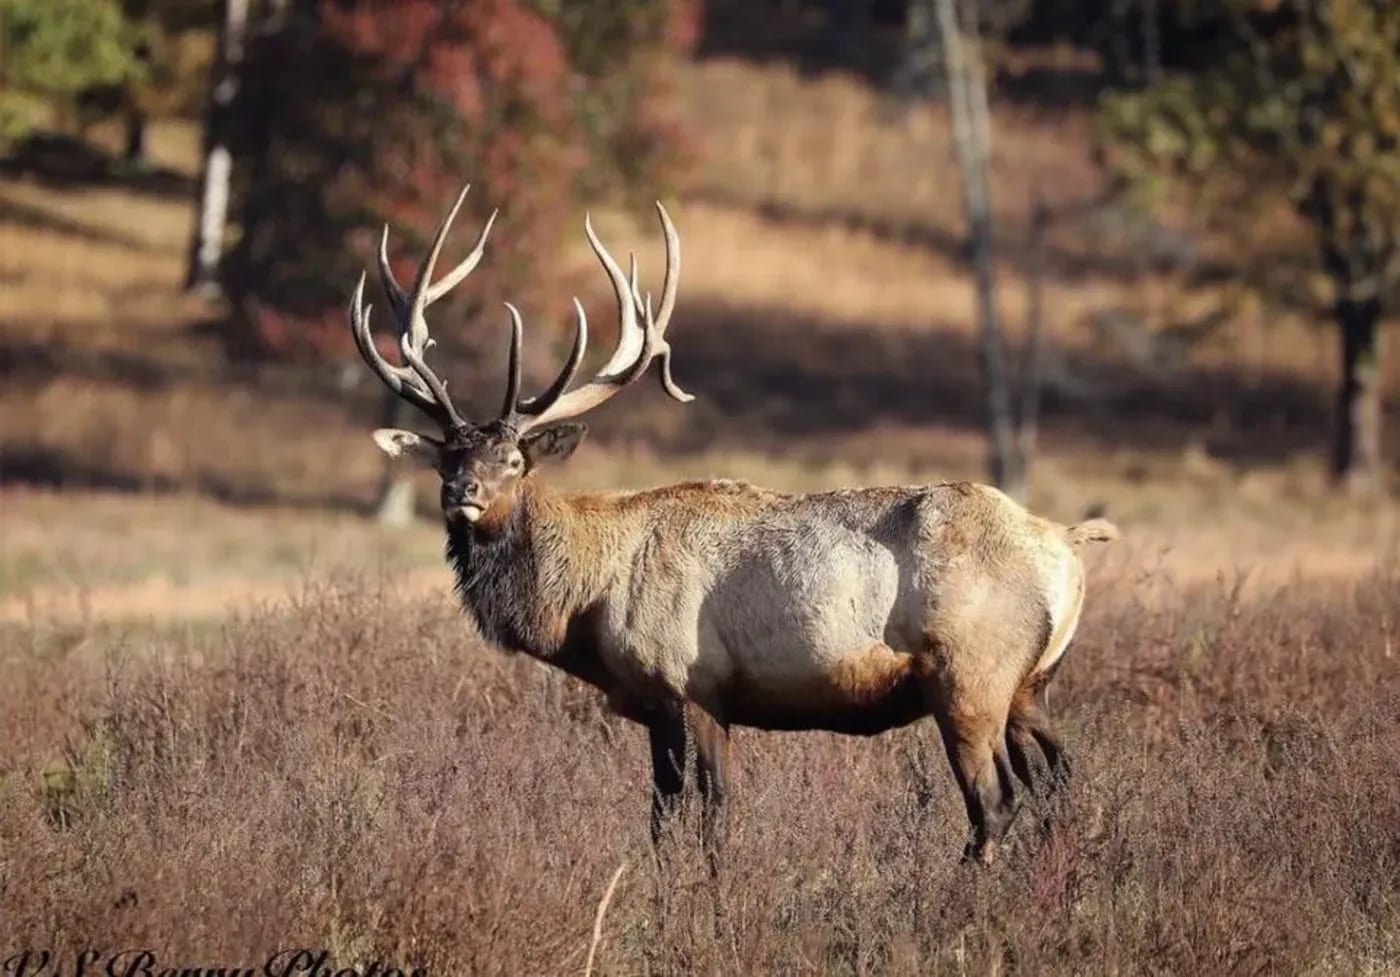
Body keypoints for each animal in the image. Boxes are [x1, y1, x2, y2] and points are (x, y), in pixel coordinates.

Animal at [350, 184, 1119, 865]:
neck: (587, 606)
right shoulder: (661, 703)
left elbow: (708, 817)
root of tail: (1067, 547)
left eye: (513, 459)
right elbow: (663, 820)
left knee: (995, 801)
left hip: (969, 678)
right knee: (1059, 781)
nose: (462, 492)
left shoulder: (693, 684)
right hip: (1029, 684)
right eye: (447, 454)